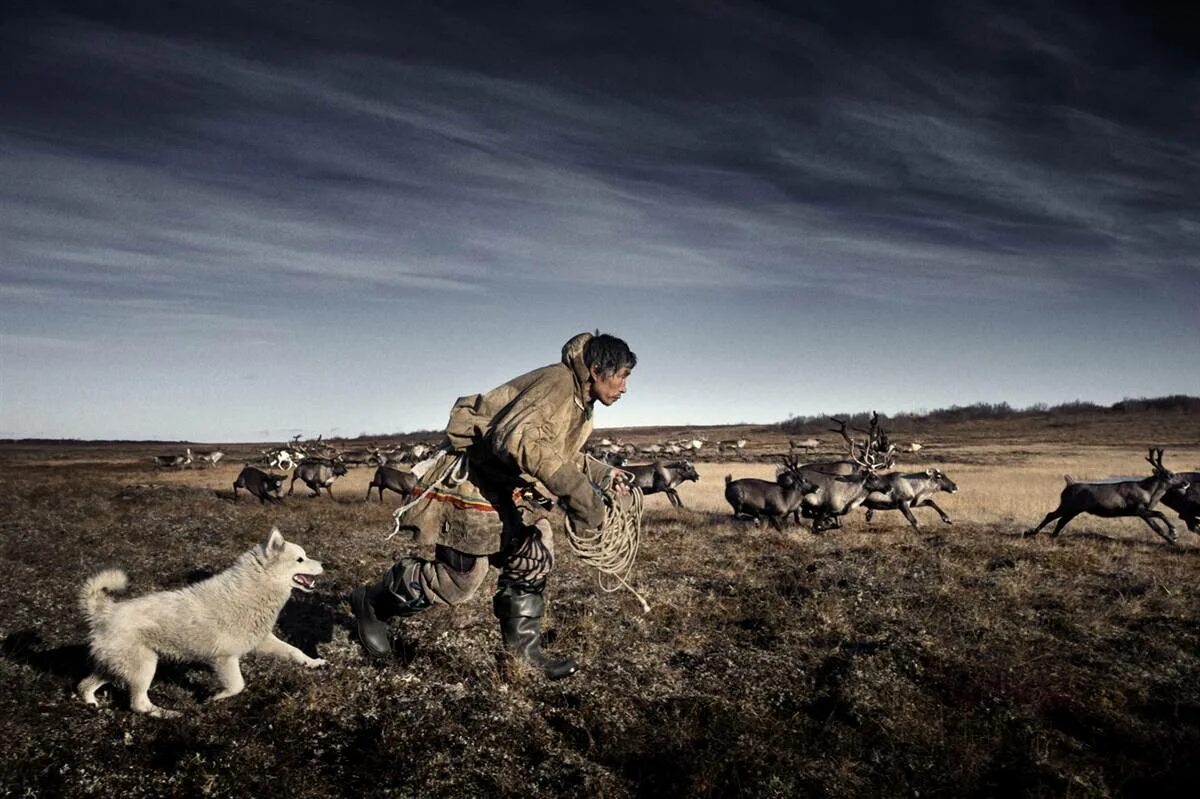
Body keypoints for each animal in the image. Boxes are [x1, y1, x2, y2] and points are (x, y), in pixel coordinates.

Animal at [78, 523, 326, 715]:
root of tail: (104, 611)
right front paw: (215, 698)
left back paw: (91, 704)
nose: (324, 565)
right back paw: (167, 714)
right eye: (300, 559)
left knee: (84, 685)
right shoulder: (223, 658)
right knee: (139, 704)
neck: (254, 588)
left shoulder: (262, 642)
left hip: (115, 666)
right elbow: (238, 685)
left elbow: (295, 652)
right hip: (144, 666)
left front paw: (314, 662)